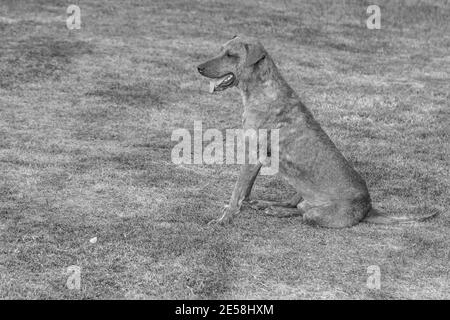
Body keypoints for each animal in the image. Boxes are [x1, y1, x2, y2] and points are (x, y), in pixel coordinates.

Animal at [197, 35, 436, 228]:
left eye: (231, 55)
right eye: (220, 50)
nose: (198, 67)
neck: (261, 91)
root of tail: (368, 208)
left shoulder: (253, 155)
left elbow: (237, 190)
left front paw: (224, 219)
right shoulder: (256, 158)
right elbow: (245, 191)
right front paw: (240, 207)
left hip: (315, 212)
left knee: (302, 212)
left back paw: (277, 210)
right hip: (301, 188)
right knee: (294, 203)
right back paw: (269, 204)